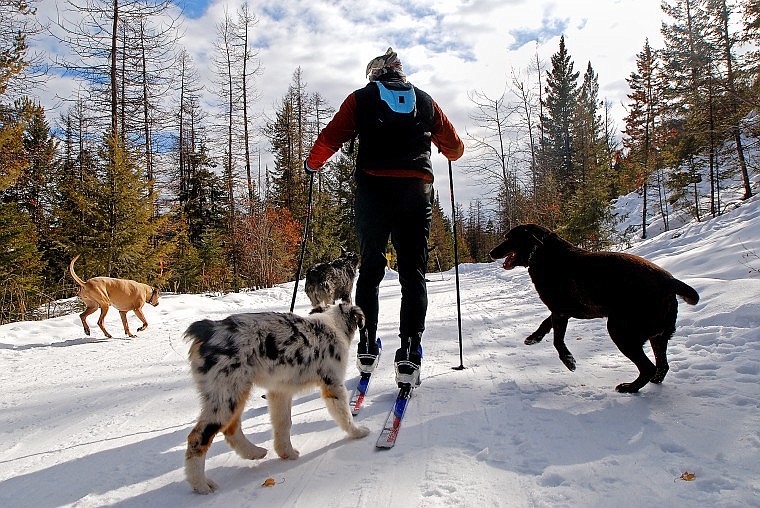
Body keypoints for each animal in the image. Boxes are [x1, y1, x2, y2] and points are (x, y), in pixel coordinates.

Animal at [490, 224, 696, 394]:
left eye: (509, 238)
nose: (492, 252)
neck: (542, 253)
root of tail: (670, 283)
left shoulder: (560, 311)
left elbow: (557, 341)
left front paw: (569, 361)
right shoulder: (561, 310)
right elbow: (545, 323)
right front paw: (534, 338)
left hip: (620, 331)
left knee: (648, 367)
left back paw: (629, 388)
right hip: (657, 336)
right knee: (662, 366)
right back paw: (650, 382)